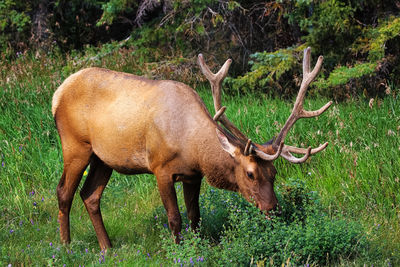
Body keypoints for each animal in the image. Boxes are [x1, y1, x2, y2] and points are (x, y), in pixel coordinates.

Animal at [50, 47, 332, 250]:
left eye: (274, 174)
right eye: (250, 173)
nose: (273, 208)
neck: (193, 149)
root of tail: (57, 94)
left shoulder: (193, 176)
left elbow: (195, 217)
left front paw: (197, 247)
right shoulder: (160, 168)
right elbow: (175, 219)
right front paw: (179, 251)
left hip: (103, 158)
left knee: (90, 195)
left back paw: (107, 247)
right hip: (75, 145)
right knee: (64, 191)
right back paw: (66, 246)